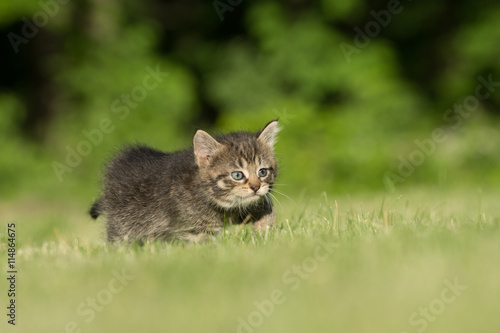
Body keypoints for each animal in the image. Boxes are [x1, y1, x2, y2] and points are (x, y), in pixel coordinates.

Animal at [88, 119, 280, 241]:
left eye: (262, 172)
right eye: (237, 175)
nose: (256, 187)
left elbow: (264, 209)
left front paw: (265, 230)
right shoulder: (195, 228)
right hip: (123, 224)